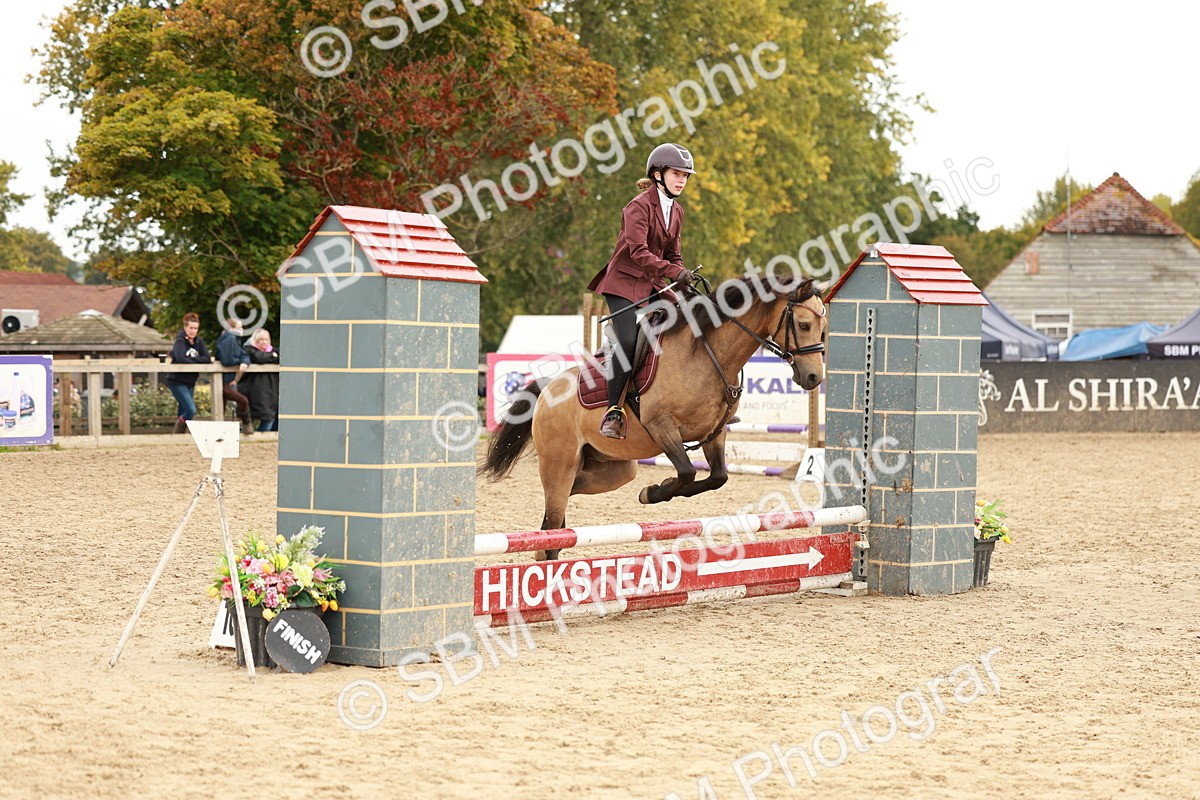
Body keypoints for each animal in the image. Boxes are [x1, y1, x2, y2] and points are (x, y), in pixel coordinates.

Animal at [479, 274, 827, 560]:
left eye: (824, 329)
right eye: (804, 325)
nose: (814, 378)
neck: (706, 353)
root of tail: (548, 388)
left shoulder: (715, 433)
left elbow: (718, 477)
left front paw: (655, 490)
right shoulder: (662, 427)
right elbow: (687, 472)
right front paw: (656, 492)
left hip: (613, 468)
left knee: (567, 497)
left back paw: (548, 542)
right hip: (559, 461)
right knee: (556, 505)